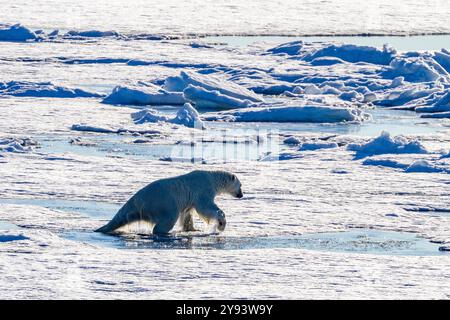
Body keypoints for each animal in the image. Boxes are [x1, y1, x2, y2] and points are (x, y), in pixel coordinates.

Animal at [94, 170, 243, 235]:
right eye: (240, 185)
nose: (241, 195)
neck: (212, 178)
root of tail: (138, 199)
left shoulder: (191, 199)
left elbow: (187, 213)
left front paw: (192, 229)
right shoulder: (203, 189)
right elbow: (206, 207)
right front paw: (221, 224)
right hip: (163, 203)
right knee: (168, 219)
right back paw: (163, 231)